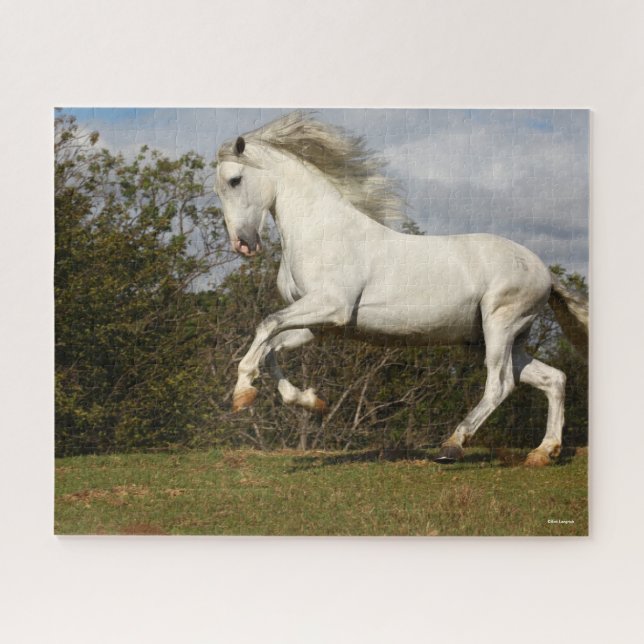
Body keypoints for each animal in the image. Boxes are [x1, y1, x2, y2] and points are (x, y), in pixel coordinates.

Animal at [214, 111, 588, 466]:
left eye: (235, 180)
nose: (243, 245)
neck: (325, 231)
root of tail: (544, 271)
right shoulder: (317, 326)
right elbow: (271, 349)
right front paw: (310, 400)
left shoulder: (331, 305)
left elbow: (266, 325)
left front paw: (241, 391)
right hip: (500, 337)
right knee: (553, 378)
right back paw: (543, 453)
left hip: (500, 324)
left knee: (501, 384)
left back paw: (452, 445)